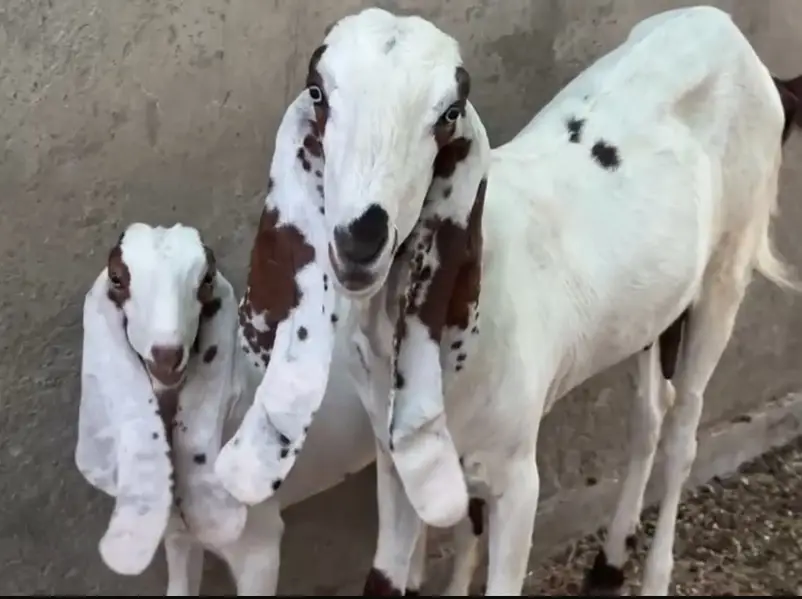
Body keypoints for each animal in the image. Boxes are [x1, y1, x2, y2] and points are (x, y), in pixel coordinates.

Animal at [212, 5, 802, 596]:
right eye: (318, 91)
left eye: (448, 113)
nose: (361, 240)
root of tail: (729, 33)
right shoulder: (395, 466)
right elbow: (388, 574)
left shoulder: (518, 479)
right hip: (654, 309)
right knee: (650, 414)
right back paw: (610, 561)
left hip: (727, 269)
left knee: (684, 431)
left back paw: (654, 575)